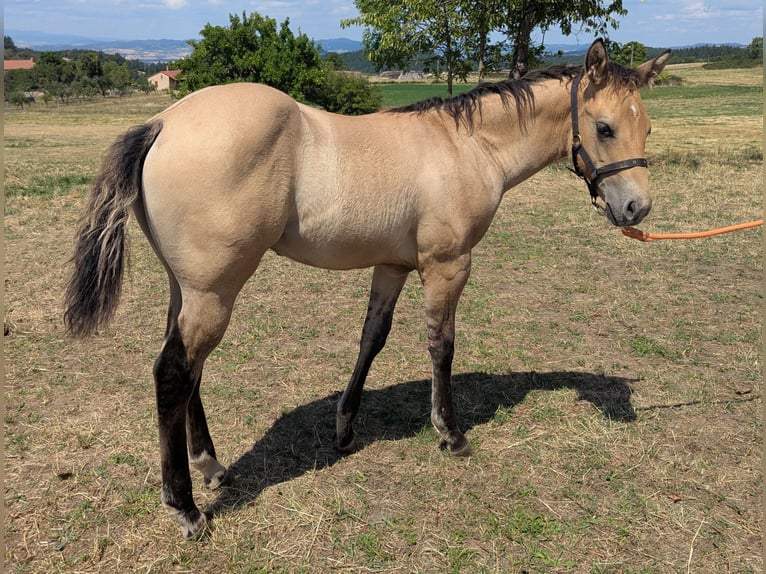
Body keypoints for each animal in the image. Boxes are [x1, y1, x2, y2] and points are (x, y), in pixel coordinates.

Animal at [64, 39, 670, 539]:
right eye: (605, 127)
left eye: (645, 127)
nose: (636, 209)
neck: (467, 145)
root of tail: (163, 123)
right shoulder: (447, 266)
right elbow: (442, 346)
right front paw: (450, 433)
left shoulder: (393, 267)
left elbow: (371, 339)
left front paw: (344, 428)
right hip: (214, 292)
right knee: (174, 372)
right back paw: (186, 508)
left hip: (188, 288)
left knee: (188, 370)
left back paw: (211, 467)